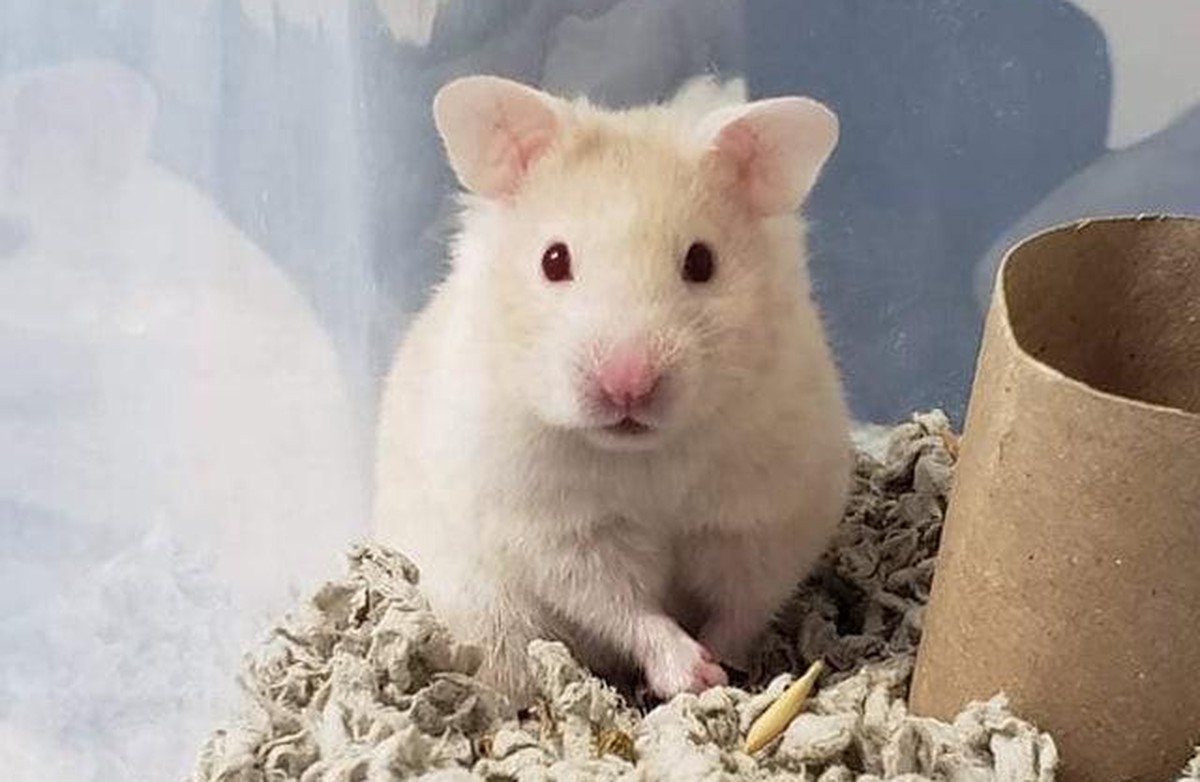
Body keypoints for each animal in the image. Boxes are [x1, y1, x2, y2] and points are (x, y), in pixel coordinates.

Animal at [373, 74, 852, 705]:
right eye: (554, 260)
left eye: (702, 261)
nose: (627, 386)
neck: (645, 455)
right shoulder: (562, 532)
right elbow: (623, 606)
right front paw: (692, 673)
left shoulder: (764, 521)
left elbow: (741, 605)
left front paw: (719, 669)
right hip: (486, 608)